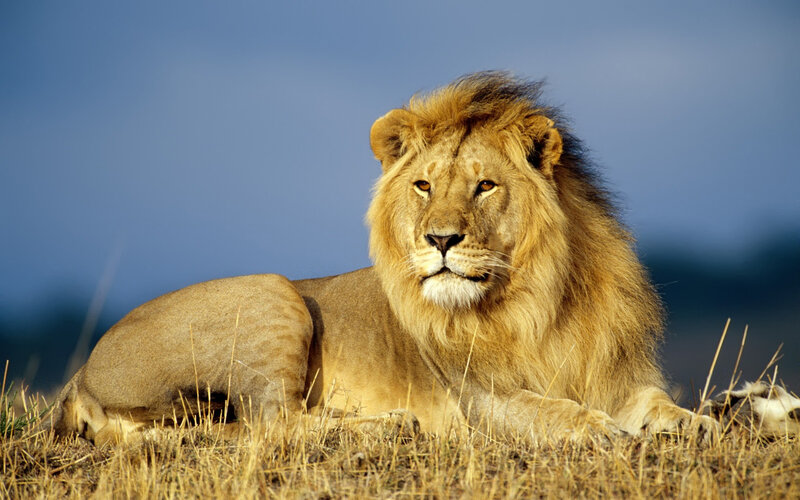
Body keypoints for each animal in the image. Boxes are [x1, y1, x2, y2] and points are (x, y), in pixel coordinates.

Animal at [51, 72, 723, 446]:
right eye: (424, 186)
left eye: (485, 186)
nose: (440, 240)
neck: (540, 299)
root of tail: (80, 375)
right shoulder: (479, 400)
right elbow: (547, 409)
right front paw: (595, 428)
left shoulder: (617, 375)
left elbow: (658, 404)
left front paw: (702, 423)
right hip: (273, 292)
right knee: (270, 424)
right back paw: (392, 426)